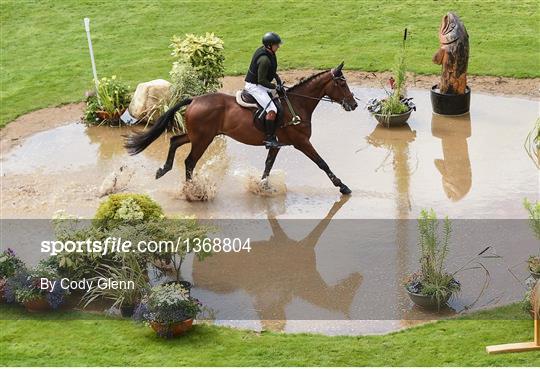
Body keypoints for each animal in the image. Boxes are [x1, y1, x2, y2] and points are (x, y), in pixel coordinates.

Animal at [124, 61, 356, 194]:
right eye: (342, 84)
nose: (354, 104)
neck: (297, 104)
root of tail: (194, 99)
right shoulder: (302, 142)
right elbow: (322, 163)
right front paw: (342, 186)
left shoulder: (277, 145)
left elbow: (268, 166)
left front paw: (262, 187)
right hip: (203, 138)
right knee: (190, 161)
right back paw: (193, 191)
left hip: (197, 135)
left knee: (175, 141)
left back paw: (163, 170)